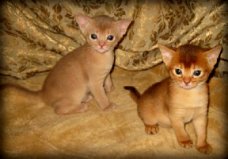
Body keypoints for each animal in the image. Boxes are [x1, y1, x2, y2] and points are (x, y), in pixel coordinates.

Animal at [1, 14, 132, 114]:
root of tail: (43, 93)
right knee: (58, 110)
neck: (103, 55)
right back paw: (80, 107)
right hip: (74, 93)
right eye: (93, 36)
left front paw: (110, 89)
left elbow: (108, 80)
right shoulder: (94, 83)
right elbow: (101, 96)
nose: (101, 45)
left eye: (110, 37)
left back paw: (86, 98)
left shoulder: (106, 73)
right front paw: (107, 106)